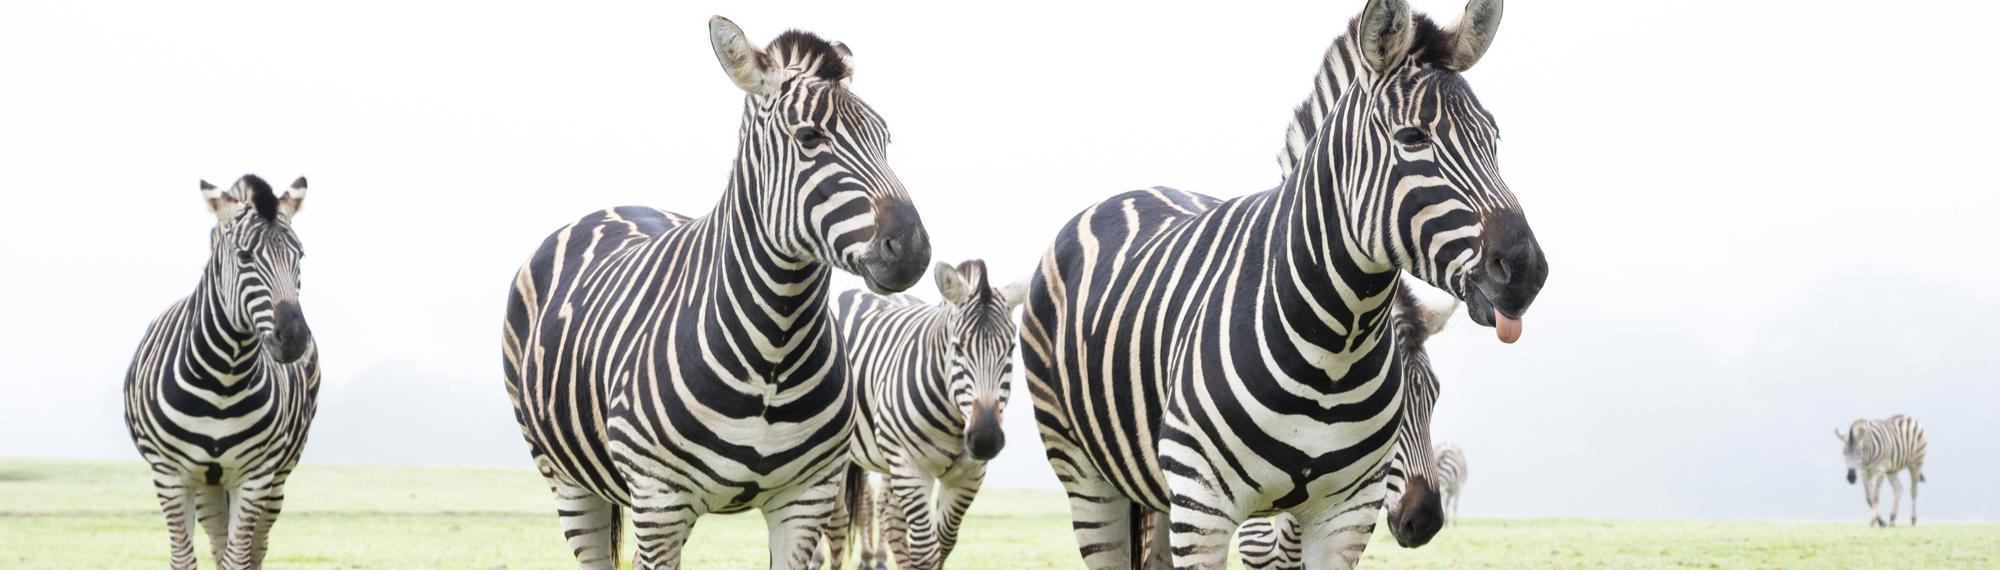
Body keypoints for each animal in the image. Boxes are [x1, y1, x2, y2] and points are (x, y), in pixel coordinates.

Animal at [124, 174, 317, 570]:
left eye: (300, 256)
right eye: (244, 257)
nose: (293, 338)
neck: (223, 379)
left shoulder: (256, 477)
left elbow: (237, 559)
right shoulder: (169, 474)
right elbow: (185, 560)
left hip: (277, 479)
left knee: (255, 548)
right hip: (207, 485)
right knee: (217, 540)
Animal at [501, 17, 931, 569]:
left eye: (886, 140)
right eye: (809, 136)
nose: (913, 249)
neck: (776, 345)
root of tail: (611, 207)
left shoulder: (806, 499)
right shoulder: (660, 501)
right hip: (566, 479)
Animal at [817, 259, 1027, 570]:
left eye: (1011, 349)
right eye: (957, 348)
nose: (985, 439)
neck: (955, 423)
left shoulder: (969, 476)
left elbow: (944, 543)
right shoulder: (910, 466)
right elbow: (926, 551)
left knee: (888, 516)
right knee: (838, 520)